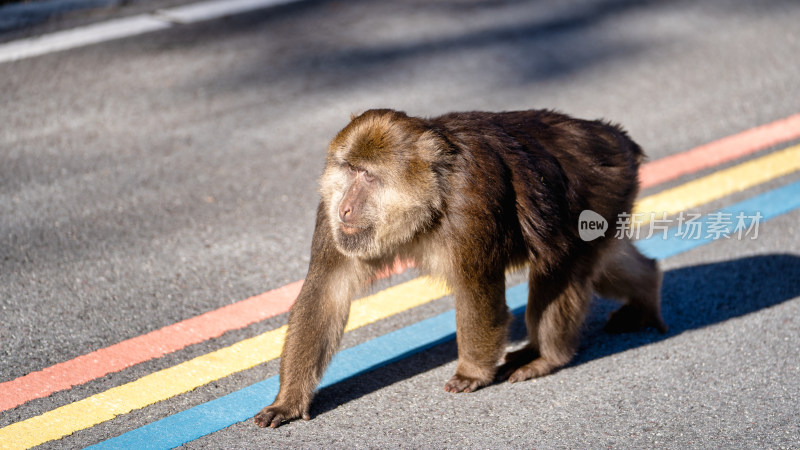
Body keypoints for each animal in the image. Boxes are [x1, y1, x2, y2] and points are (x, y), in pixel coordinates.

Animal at [256, 109, 668, 428]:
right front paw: (288, 401)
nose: (345, 207)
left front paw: (471, 372)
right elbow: (326, 293)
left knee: (560, 265)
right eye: (348, 169)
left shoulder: (471, 202)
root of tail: (614, 137)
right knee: (603, 261)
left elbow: (477, 290)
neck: (430, 198)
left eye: (368, 175)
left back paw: (547, 358)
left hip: (601, 193)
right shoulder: (331, 217)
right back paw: (647, 289)